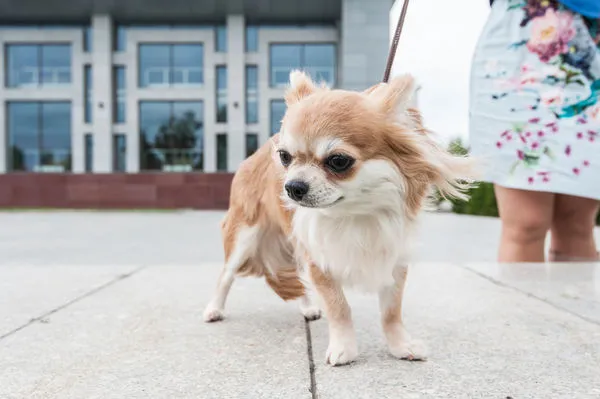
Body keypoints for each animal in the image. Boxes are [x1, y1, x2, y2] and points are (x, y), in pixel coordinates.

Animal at [204, 71, 476, 366]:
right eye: (285, 157)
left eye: (338, 161)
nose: (292, 186)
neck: (355, 213)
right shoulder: (319, 258)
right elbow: (339, 306)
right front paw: (344, 349)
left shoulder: (394, 258)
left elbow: (391, 312)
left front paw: (400, 345)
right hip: (244, 235)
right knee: (226, 275)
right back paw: (214, 309)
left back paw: (308, 307)